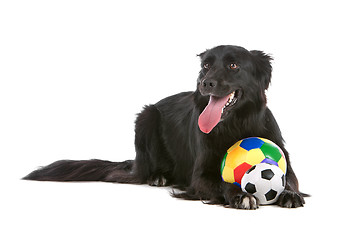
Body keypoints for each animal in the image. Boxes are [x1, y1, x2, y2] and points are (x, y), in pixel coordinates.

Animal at [24, 44, 306, 208]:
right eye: (206, 65)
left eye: (233, 65)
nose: (205, 83)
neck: (236, 123)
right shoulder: (200, 176)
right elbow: (221, 183)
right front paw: (240, 194)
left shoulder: (284, 161)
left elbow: (290, 180)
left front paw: (290, 194)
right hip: (146, 117)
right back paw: (157, 176)